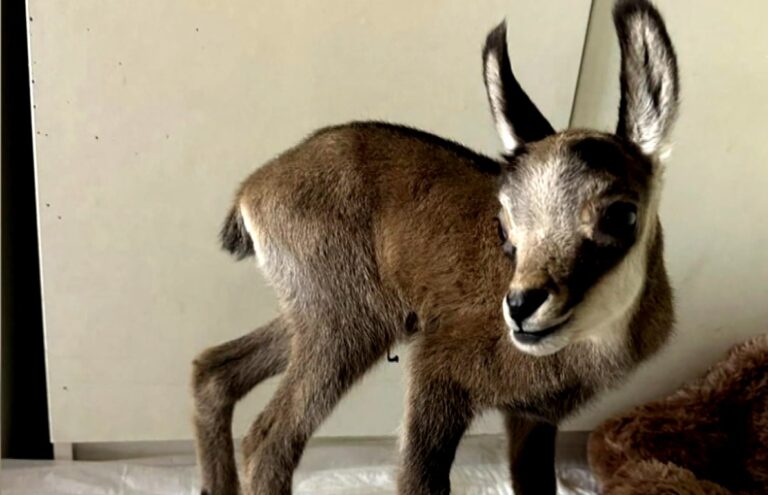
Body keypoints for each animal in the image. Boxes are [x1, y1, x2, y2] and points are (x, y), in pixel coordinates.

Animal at [193, 1, 679, 493]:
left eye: (621, 214)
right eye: (503, 222)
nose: (522, 307)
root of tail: (253, 189)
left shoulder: (534, 417)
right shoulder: (439, 370)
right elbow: (421, 478)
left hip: (321, 313)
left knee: (216, 371)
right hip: (346, 320)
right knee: (269, 439)